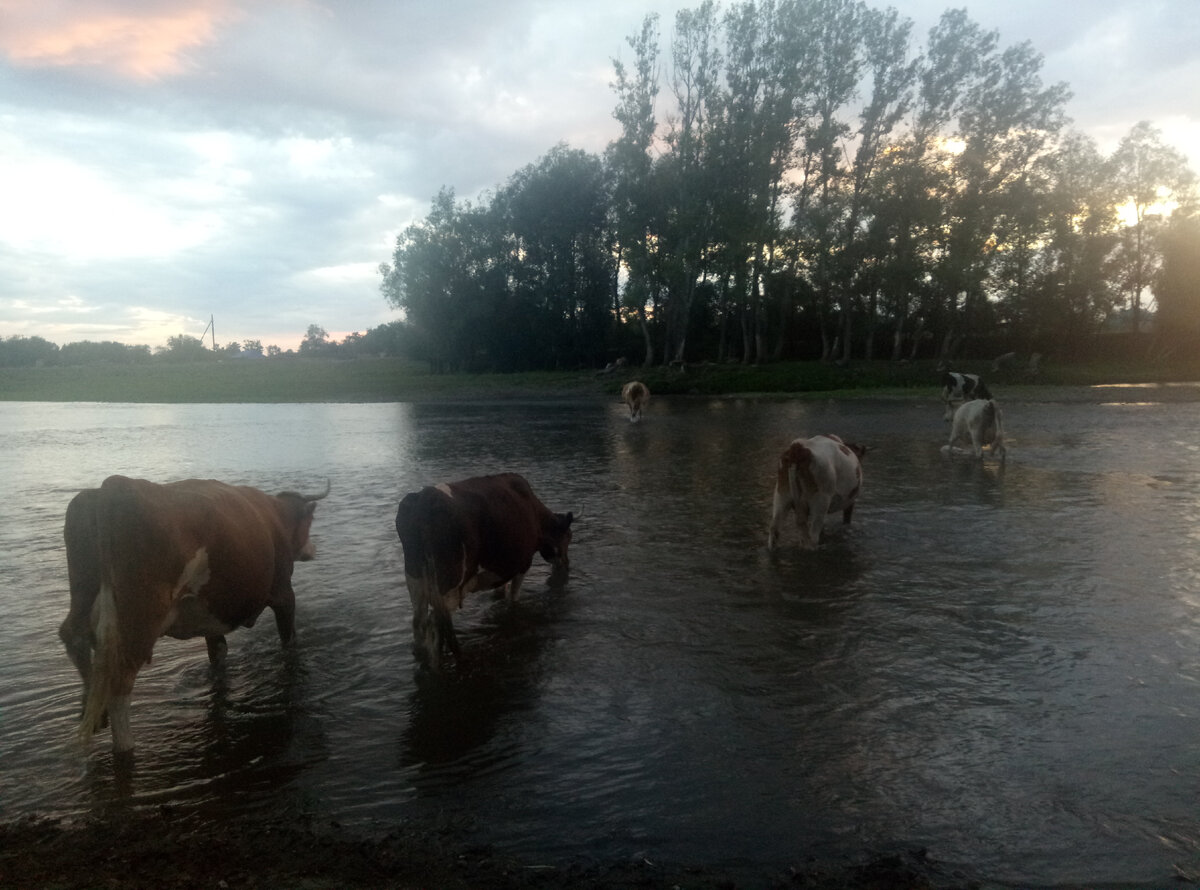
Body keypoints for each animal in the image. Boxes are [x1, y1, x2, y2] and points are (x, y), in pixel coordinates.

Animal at [59, 474, 326, 753]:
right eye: (309, 521)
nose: (312, 549)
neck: (275, 516)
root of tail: (113, 485)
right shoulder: (284, 592)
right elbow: (289, 641)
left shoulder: (211, 613)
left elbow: (218, 653)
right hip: (140, 617)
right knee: (120, 681)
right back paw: (125, 744)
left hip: (84, 595)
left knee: (74, 636)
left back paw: (93, 712)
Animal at [393, 474, 571, 671]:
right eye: (568, 538)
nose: (567, 565)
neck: (534, 512)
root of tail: (425, 497)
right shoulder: (522, 565)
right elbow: (514, 598)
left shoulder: (503, 568)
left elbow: (501, 589)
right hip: (450, 584)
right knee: (436, 623)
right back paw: (437, 664)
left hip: (415, 579)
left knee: (419, 621)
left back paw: (422, 658)